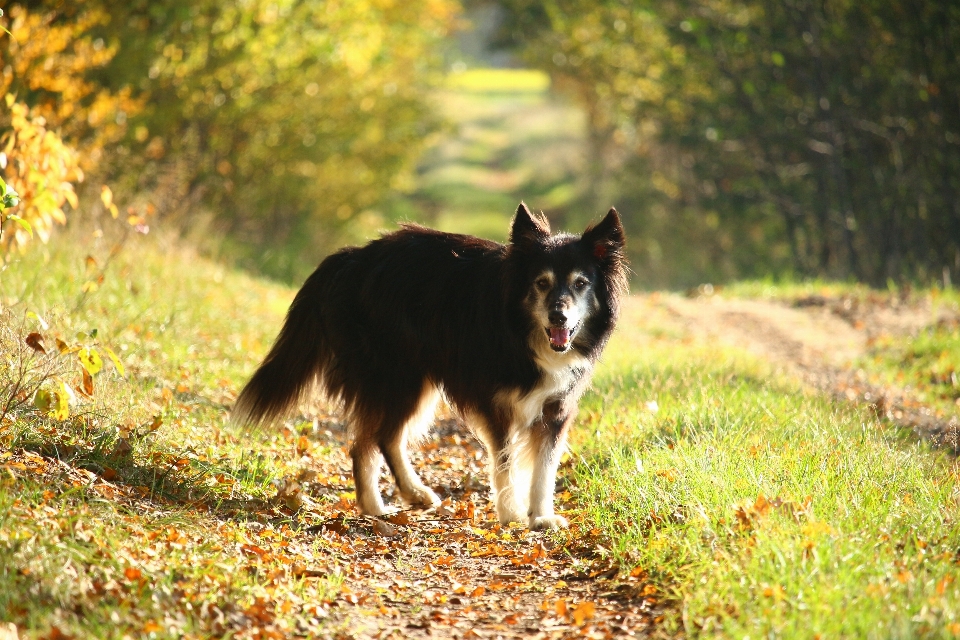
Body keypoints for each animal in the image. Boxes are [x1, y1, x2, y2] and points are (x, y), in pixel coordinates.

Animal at [234, 205, 632, 528]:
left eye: (580, 283)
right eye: (542, 283)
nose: (558, 317)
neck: (521, 331)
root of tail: (351, 258)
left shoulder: (557, 406)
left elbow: (545, 468)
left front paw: (542, 516)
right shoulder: (498, 403)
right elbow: (504, 462)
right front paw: (512, 514)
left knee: (367, 442)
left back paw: (376, 505)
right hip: (398, 375)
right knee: (382, 438)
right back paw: (405, 496)